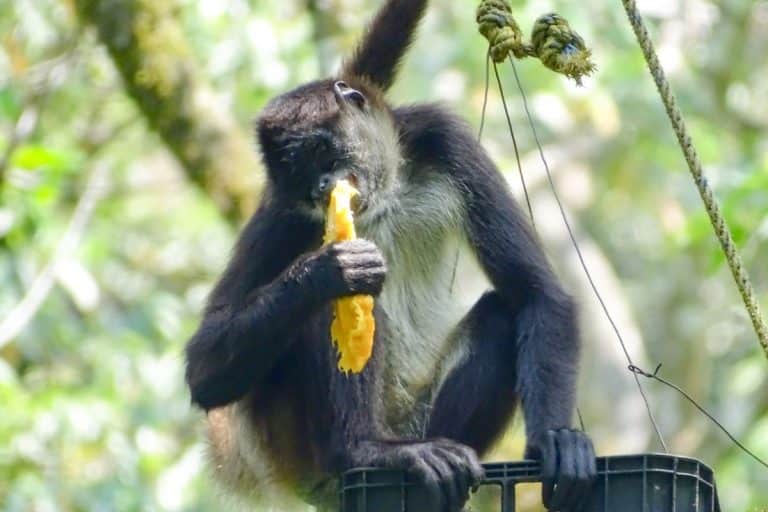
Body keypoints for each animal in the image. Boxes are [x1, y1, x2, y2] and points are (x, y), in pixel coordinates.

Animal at [184, 1, 596, 510]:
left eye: (321, 153)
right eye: (298, 175)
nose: (322, 188)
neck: (385, 199)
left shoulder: (443, 140)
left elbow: (538, 294)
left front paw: (555, 440)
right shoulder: (283, 210)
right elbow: (204, 370)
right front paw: (327, 271)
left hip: (419, 418)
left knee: (503, 313)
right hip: (290, 438)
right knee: (327, 312)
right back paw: (366, 450)